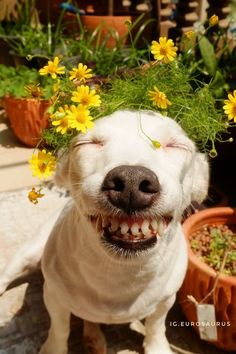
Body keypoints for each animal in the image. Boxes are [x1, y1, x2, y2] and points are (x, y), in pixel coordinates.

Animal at [0, 109, 208, 352]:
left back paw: (94, 338)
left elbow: (156, 326)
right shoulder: (54, 297)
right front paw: (54, 348)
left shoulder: (166, 300)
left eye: (175, 145)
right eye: (88, 143)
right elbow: (59, 328)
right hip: (29, 254)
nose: (131, 181)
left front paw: (157, 347)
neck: (120, 272)